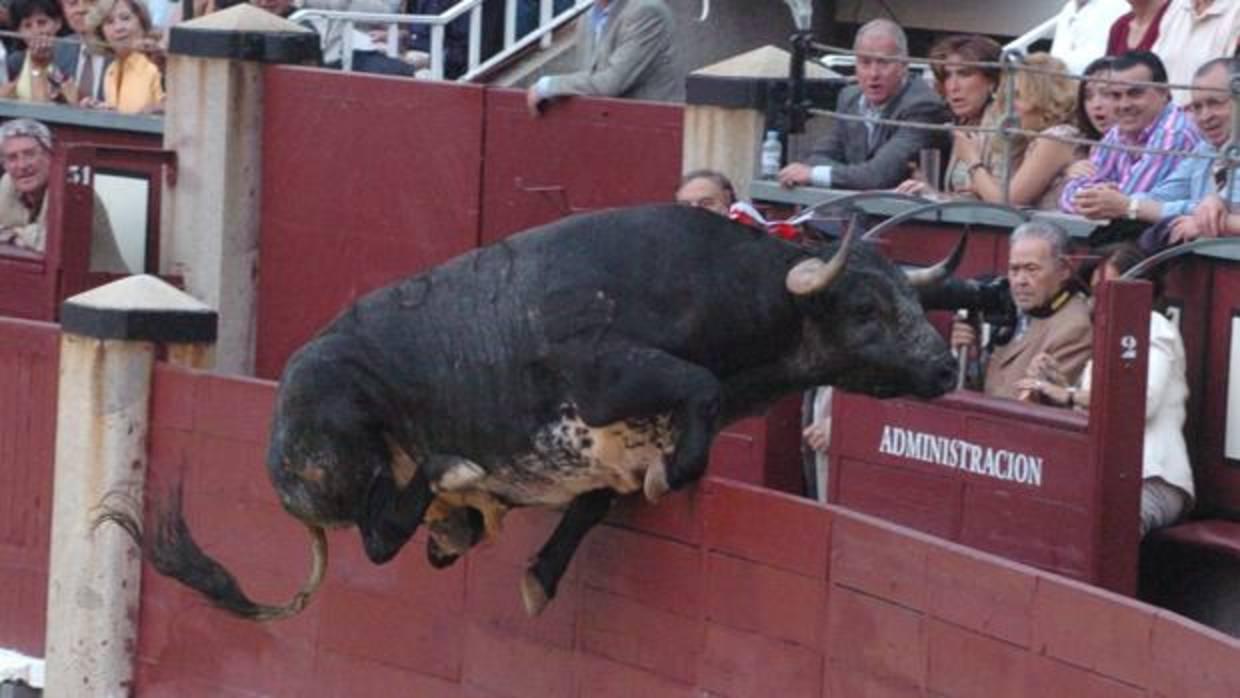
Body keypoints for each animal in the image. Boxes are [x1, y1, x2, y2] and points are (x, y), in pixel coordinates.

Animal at [104, 204, 957, 619]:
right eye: (867, 308)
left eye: (913, 300)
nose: (948, 367)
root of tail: (277, 445)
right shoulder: (605, 376)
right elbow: (698, 395)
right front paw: (675, 475)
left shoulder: (608, 460)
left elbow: (593, 508)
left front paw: (540, 580)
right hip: (349, 440)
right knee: (379, 536)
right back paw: (453, 471)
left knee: (415, 541)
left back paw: (462, 517)